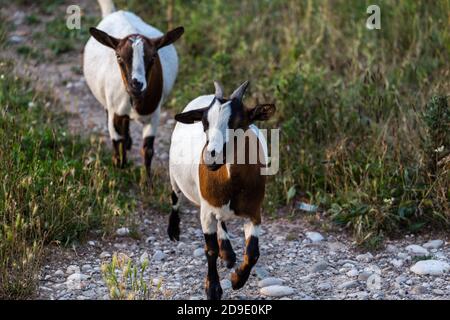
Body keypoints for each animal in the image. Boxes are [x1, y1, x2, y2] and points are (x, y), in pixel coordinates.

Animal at [168, 80, 274, 300]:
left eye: (237, 123)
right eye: (204, 123)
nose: (210, 158)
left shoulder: (254, 212)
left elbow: (253, 253)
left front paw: (237, 279)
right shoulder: (206, 211)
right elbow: (210, 250)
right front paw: (213, 289)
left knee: (222, 222)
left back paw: (228, 253)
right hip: (174, 174)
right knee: (175, 195)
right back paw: (173, 230)